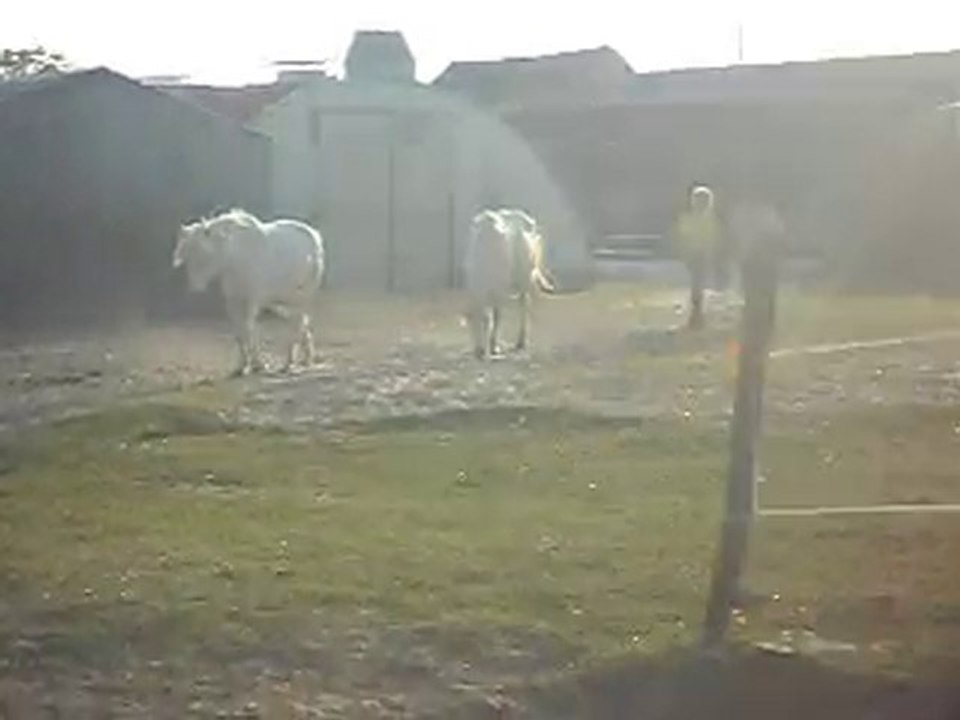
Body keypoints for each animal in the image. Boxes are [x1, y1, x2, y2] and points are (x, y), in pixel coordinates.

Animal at [172, 208, 325, 376]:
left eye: (203, 252)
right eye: (187, 255)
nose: (195, 287)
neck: (235, 257)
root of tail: (314, 235)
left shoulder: (250, 301)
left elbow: (248, 330)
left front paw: (259, 365)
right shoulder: (234, 302)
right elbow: (240, 333)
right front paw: (242, 366)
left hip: (301, 297)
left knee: (297, 325)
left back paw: (289, 363)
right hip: (283, 302)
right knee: (300, 322)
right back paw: (305, 359)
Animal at [462, 207, 556, 359]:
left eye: (482, 326)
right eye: (470, 327)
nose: (479, 352)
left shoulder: (500, 291)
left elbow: (497, 316)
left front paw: (494, 346)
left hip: (526, 277)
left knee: (524, 305)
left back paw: (521, 342)